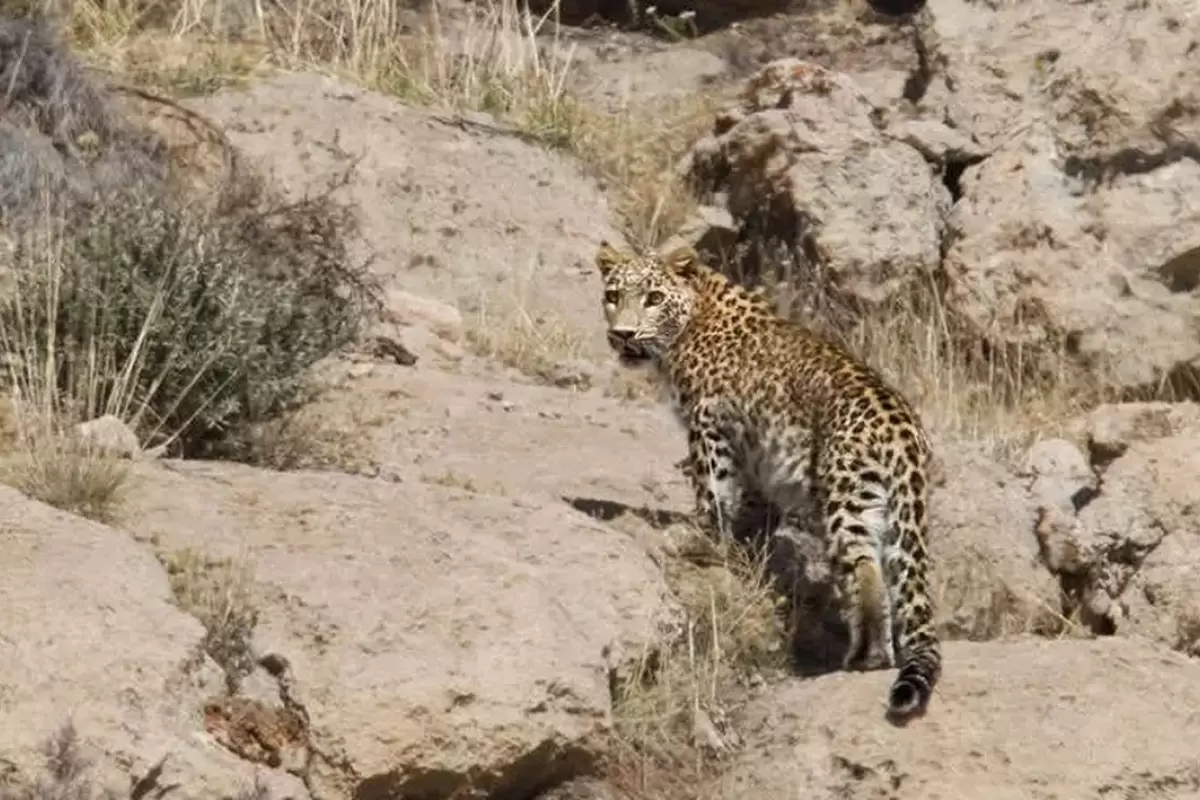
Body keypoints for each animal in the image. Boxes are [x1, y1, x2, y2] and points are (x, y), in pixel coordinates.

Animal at [595, 241, 940, 724]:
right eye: (612, 295)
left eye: (653, 298)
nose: (624, 334)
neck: (693, 318)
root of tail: (903, 426)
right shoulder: (755, 451)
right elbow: (753, 504)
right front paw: (745, 543)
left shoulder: (709, 426)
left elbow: (713, 491)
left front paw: (701, 538)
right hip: (885, 504)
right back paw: (879, 655)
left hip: (844, 492)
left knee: (863, 566)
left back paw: (863, 657)